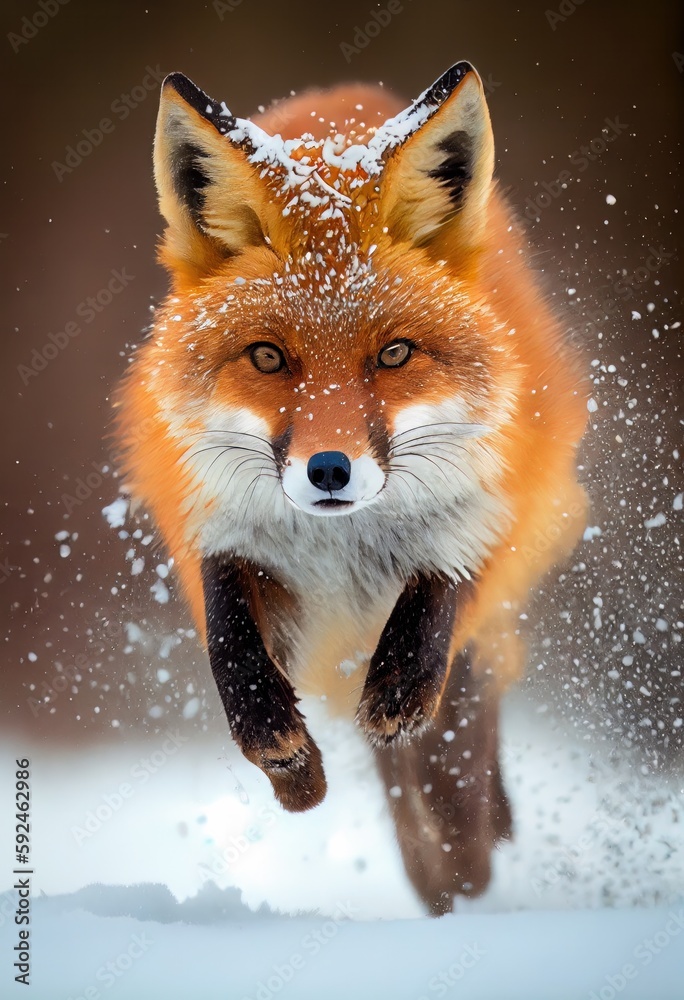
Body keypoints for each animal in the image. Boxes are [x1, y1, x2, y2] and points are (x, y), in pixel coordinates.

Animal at [113, 61, 587, 915]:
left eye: (394, 353)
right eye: (268, 358)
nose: (328, 469)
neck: (344, 547)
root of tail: (346, 94)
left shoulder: (500, 506)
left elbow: (439, 600)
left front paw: (399, 699)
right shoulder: (217, 523)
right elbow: (233, 649)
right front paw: (291, 768)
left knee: (460, 742)